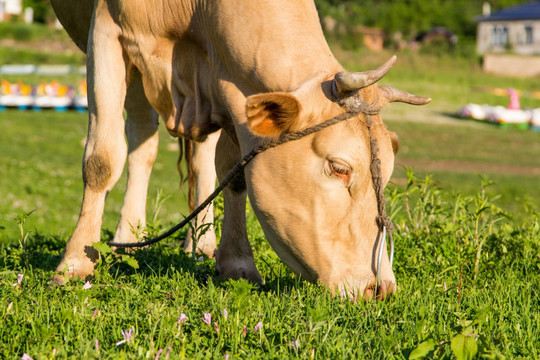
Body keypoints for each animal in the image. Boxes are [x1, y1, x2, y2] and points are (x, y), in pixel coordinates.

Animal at [50, 0, 430, 298]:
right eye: (340, 168)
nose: (381, 287)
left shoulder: (229, 84)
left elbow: (234, 176)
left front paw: (236, 262)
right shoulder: (106, 32)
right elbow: (102, 159)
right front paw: (75, 262)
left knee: (195, 156)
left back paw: (199, 244)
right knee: (140, 136)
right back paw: (125, 237)